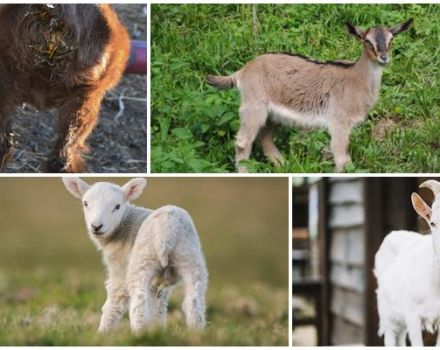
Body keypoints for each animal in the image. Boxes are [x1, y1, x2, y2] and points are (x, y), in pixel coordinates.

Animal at [61, 178, 209, 334]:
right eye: (85, 203)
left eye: (117, 206)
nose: (96, 226)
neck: (125, 225)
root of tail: (168, 227)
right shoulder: (159, 284)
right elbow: (158, 308)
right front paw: (157, 330)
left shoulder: (120, 268)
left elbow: (114, 303)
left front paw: (102, 334)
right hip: (190, 258)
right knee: (194, 301)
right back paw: (196, 334)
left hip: (142, 260)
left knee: (139, 301)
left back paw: (139, 334)